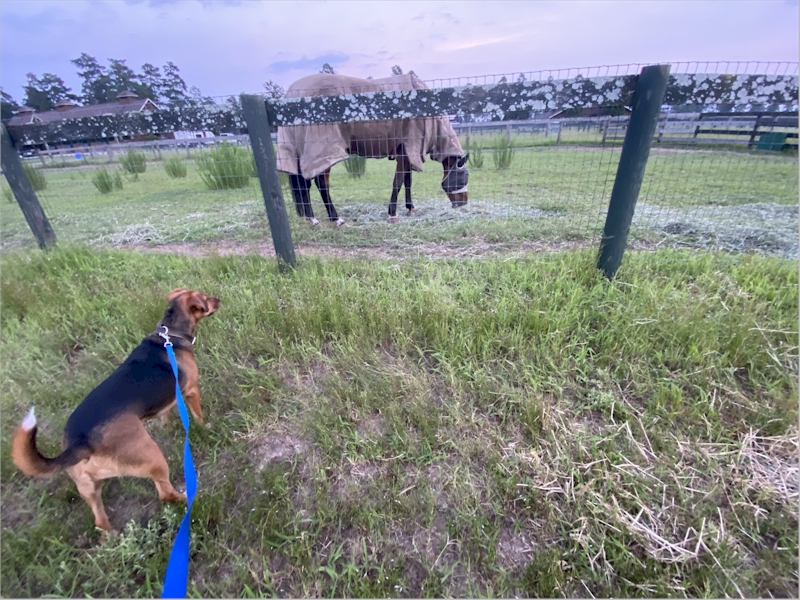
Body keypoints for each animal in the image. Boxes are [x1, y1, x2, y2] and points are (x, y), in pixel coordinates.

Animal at [10, 288, 222, 532]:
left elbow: (164, 416)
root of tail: (81, 443)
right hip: (153, 457)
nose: (219, 299)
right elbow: (198, 416)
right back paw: (187, 497)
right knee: (165, 493)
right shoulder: (191, 391)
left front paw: (168, 428)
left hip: (89, 488)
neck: (170, 335)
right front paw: (206, 428)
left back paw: (112, 536)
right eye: (204, 298)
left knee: (100, 522)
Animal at [276, 73, 468, 225]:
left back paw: (311, 217)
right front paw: (392, 213)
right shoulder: (405, 154)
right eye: (464, 177)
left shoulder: (406, 155)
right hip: (324, 153)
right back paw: (334, 218)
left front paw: (410, 208)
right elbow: (398, 183)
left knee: (305, 185)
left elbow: (407, 182)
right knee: (321, 184)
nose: (463, 203)